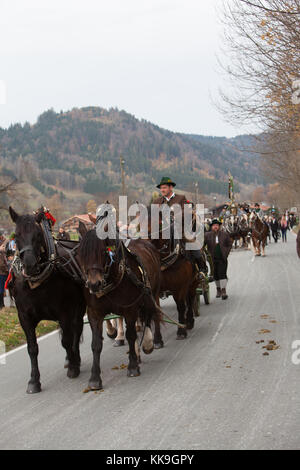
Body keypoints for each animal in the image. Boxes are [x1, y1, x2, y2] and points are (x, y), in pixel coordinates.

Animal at [8, 207, 85, 394]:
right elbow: (32, 348)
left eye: (37, 234)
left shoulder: (64, 311)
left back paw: (75, 358)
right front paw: (34, 381)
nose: (29, 264)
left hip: (79, 307)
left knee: (76, 329)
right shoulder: (24, 317)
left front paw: (73, 367)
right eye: (16, 235)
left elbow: (66, 340)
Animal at [77, 222, 162, 392]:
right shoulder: (94, 313)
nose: (94, 284)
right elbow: (96, 344)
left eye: (103, 251)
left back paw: (151, 342)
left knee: (150, 315)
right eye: (81, 253)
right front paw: (94, 378)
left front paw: (133, 366)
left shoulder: (130, 309)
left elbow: (131, 335)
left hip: (151, 293)